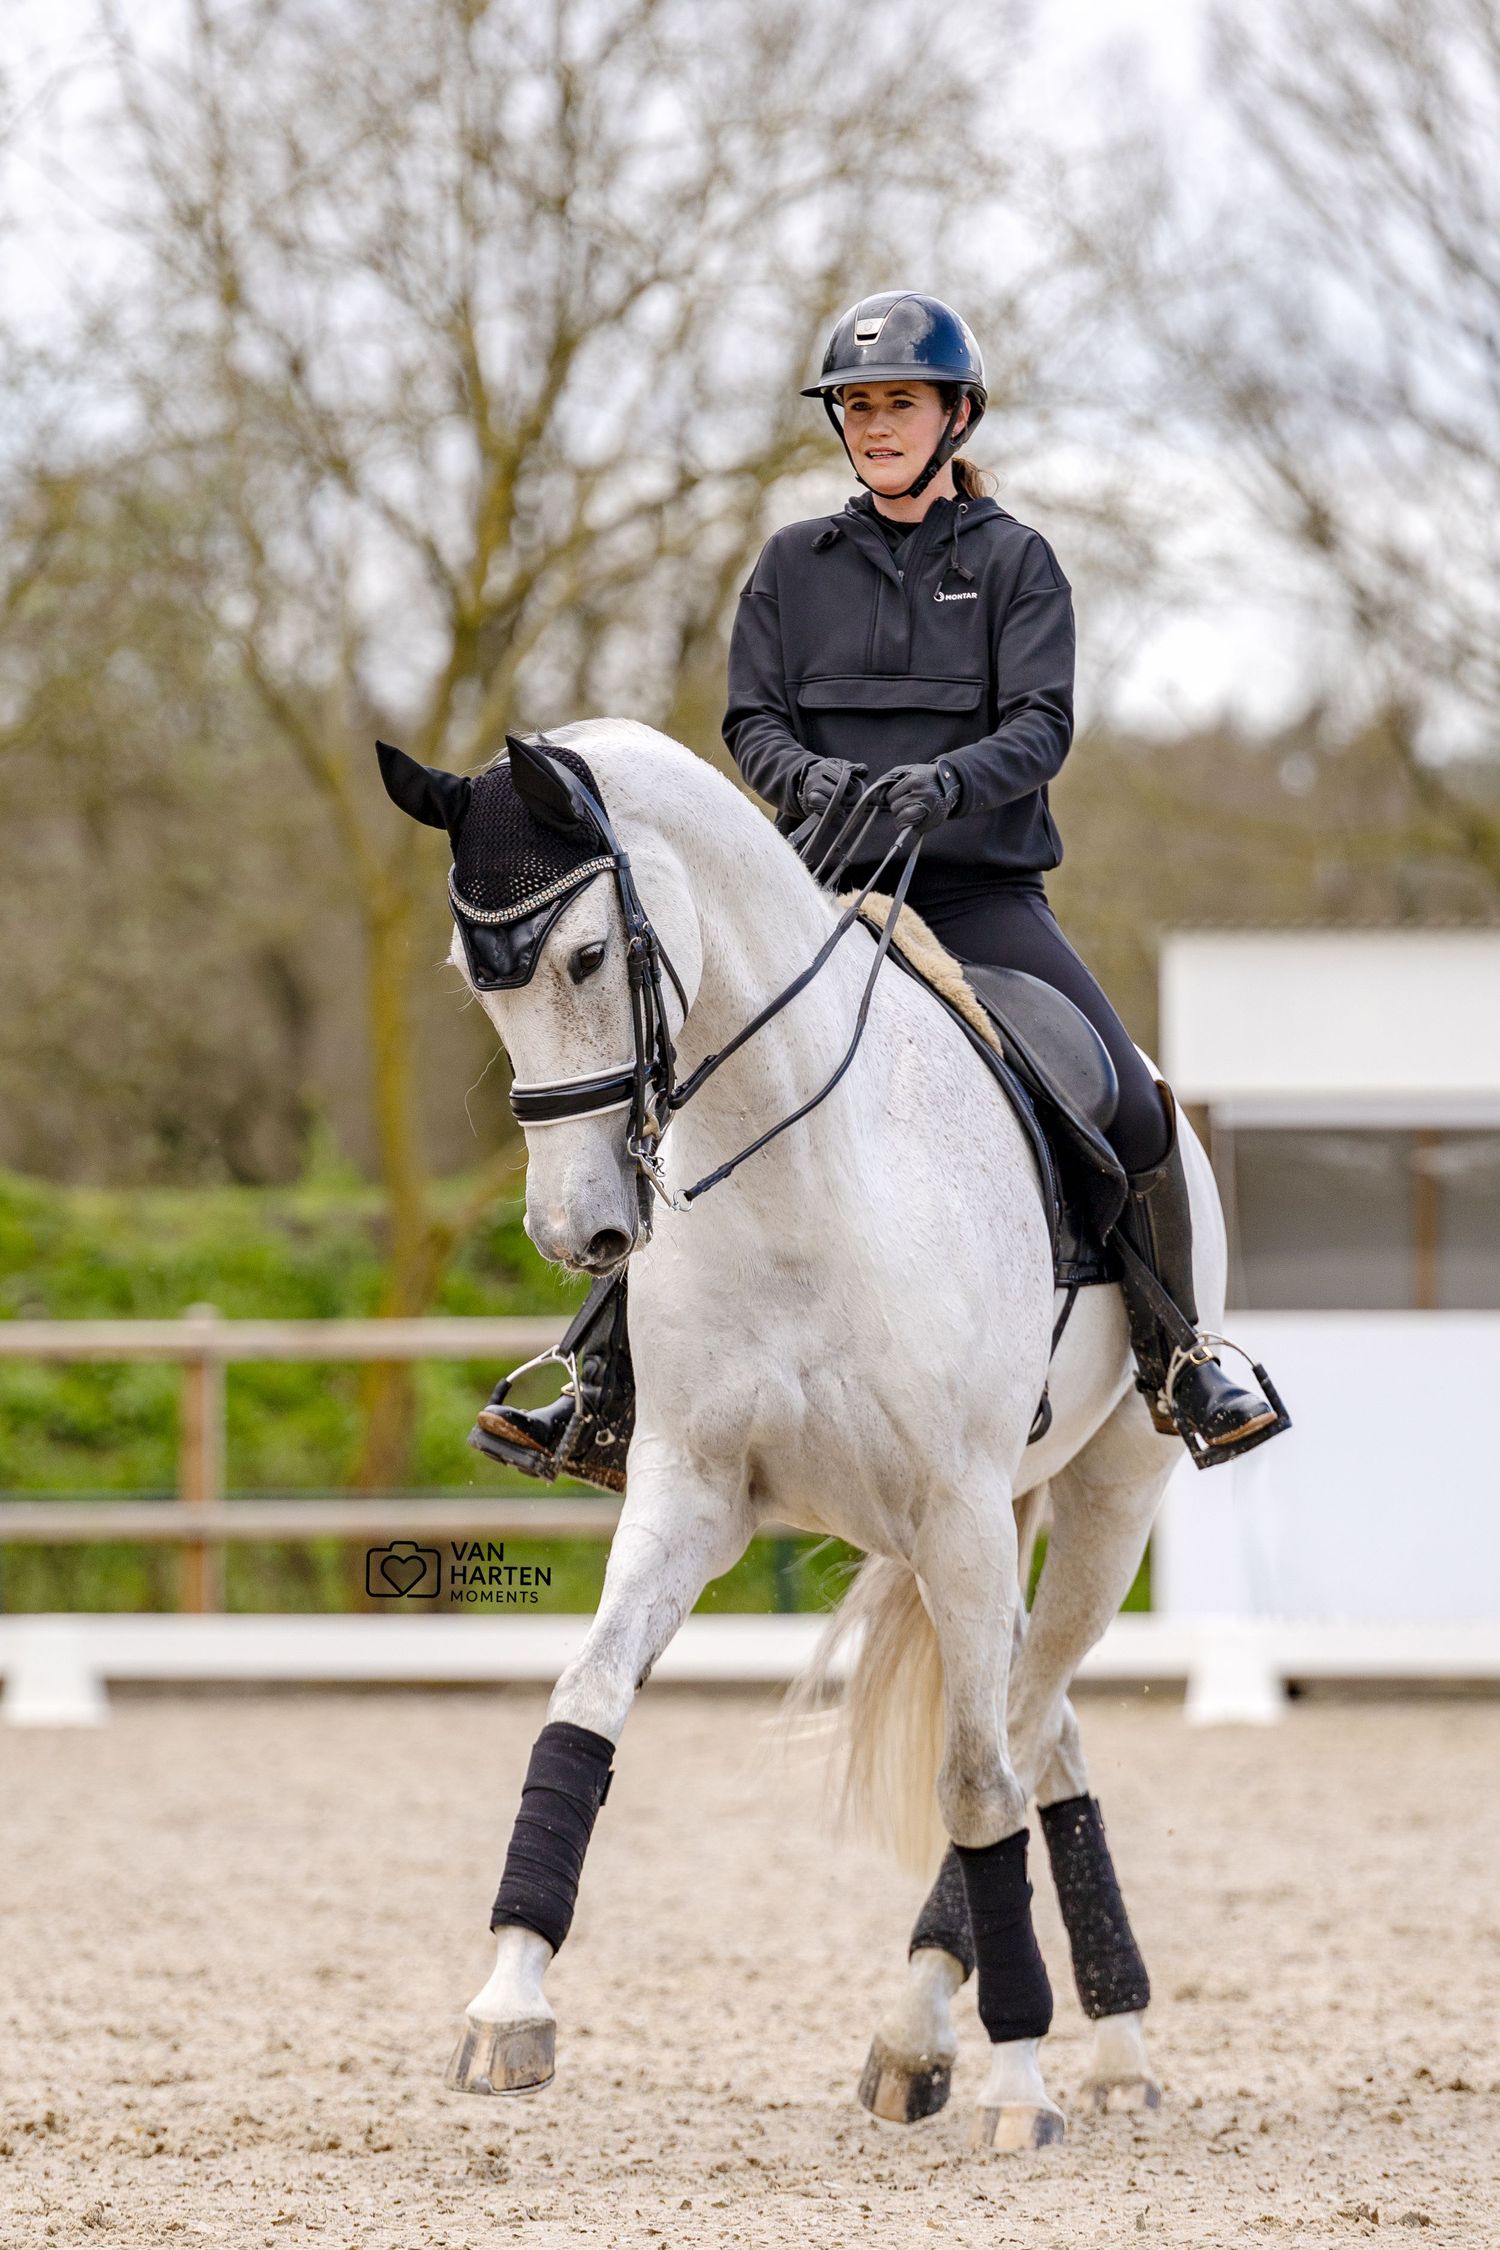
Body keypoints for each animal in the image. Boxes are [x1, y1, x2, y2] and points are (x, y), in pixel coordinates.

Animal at [381, 717, 1208, 2151]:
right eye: (473, 982)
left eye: (586, 957)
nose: (575, 1234)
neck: (798, 1174)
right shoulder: (691, 1490)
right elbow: (584, 1703)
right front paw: (506, 2008)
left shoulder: (959, 1512)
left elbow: (974, 1784)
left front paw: (1016, 2083)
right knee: (1044, 1730)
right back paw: (1060, 2044)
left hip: (1105, 1504)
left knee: (1023, 1732)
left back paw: (1000, 2040)